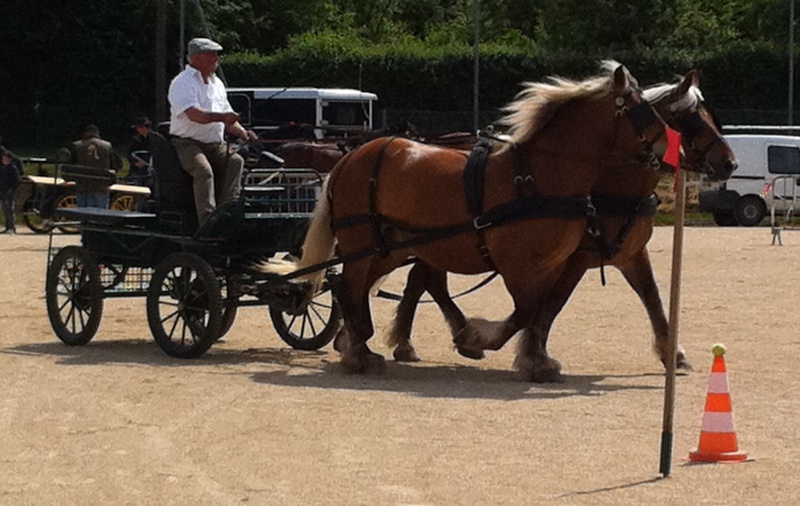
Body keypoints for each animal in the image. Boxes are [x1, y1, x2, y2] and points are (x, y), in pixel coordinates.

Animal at [262, 61, 668, 378]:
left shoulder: (556, 264)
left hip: (388, 246)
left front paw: (535, 358)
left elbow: (541, 312)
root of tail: (351, 156)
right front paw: (479, 338)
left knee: (360, 289)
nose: (666, 146)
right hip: (363, 243)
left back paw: (358, 343)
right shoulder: (517, 264)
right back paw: (360, 354)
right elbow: (526, 312)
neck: (537, 175)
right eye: (640, 108)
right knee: (351, 289)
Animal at [384, 69, 736, 382]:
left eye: (709, 115)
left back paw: (412, 341)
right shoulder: (573, 259)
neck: (609, 186)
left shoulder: (630, 253)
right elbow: (549, 307)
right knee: (427, 280)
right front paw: (532, 357)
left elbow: (653, 299)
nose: (729, 163)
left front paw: (672, 352)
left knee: (423, 280)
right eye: (689, 119)